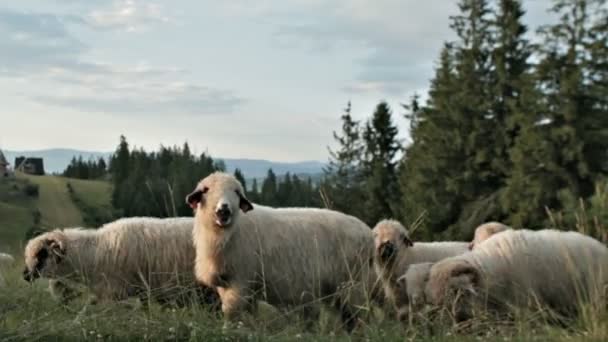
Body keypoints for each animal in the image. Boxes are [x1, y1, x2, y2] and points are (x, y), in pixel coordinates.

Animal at [188, 172, 376, 332]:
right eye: (206, 190)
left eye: (236, 192)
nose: (224, 210)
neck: (226, 233)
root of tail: (368, 233)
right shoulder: (229, 284)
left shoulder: (240, 280)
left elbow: (231, 313)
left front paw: (229, 332)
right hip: (339, 287)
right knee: (348, 317)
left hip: (353, 282)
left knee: (360, 315)